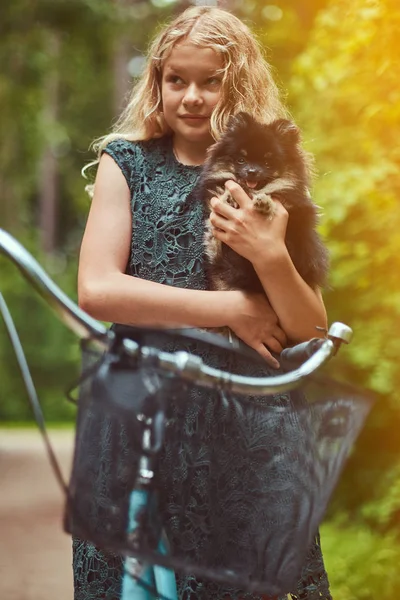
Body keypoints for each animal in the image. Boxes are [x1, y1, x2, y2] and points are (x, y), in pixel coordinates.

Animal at [193, 112, 328, 292]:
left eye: (267, 162)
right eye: (241, 160)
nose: (252, 171)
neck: (251, 191)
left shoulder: (298, 209)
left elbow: (280, 199)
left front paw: (265, 203)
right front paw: (229, 197)